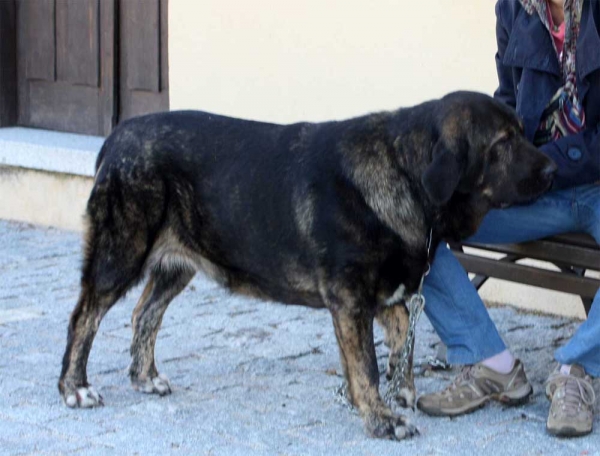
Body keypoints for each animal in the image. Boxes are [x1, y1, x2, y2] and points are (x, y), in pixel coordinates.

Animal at [58, 91, 556, 440]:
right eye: (504, 142)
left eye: (521, 131)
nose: (553, 170)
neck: (405, 174)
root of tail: (117, 137)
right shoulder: (350, 300)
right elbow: (367, 365)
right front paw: (381, 418)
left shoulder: (387, 299)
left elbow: (402, 343)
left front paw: (401, 392)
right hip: (120, 252)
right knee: (84, 317)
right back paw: (74, 387)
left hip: (176, 264)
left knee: (145, 313)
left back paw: (144, 378)